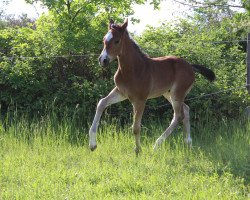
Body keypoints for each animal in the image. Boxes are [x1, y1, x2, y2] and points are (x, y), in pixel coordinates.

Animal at [89, 18, 216, 154]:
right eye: (104, 39)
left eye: (117, 40)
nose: (103, 60)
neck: (133, 69)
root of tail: (191, 66)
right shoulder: (121, 92)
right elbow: (102, 103)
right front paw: (92, 144)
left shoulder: (140, 100)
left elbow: (135, 127)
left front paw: (138, 150)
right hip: (168, 93)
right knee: (186, 110)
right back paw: (188, 143)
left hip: (177, 93)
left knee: (178, 116)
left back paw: (156, 145)